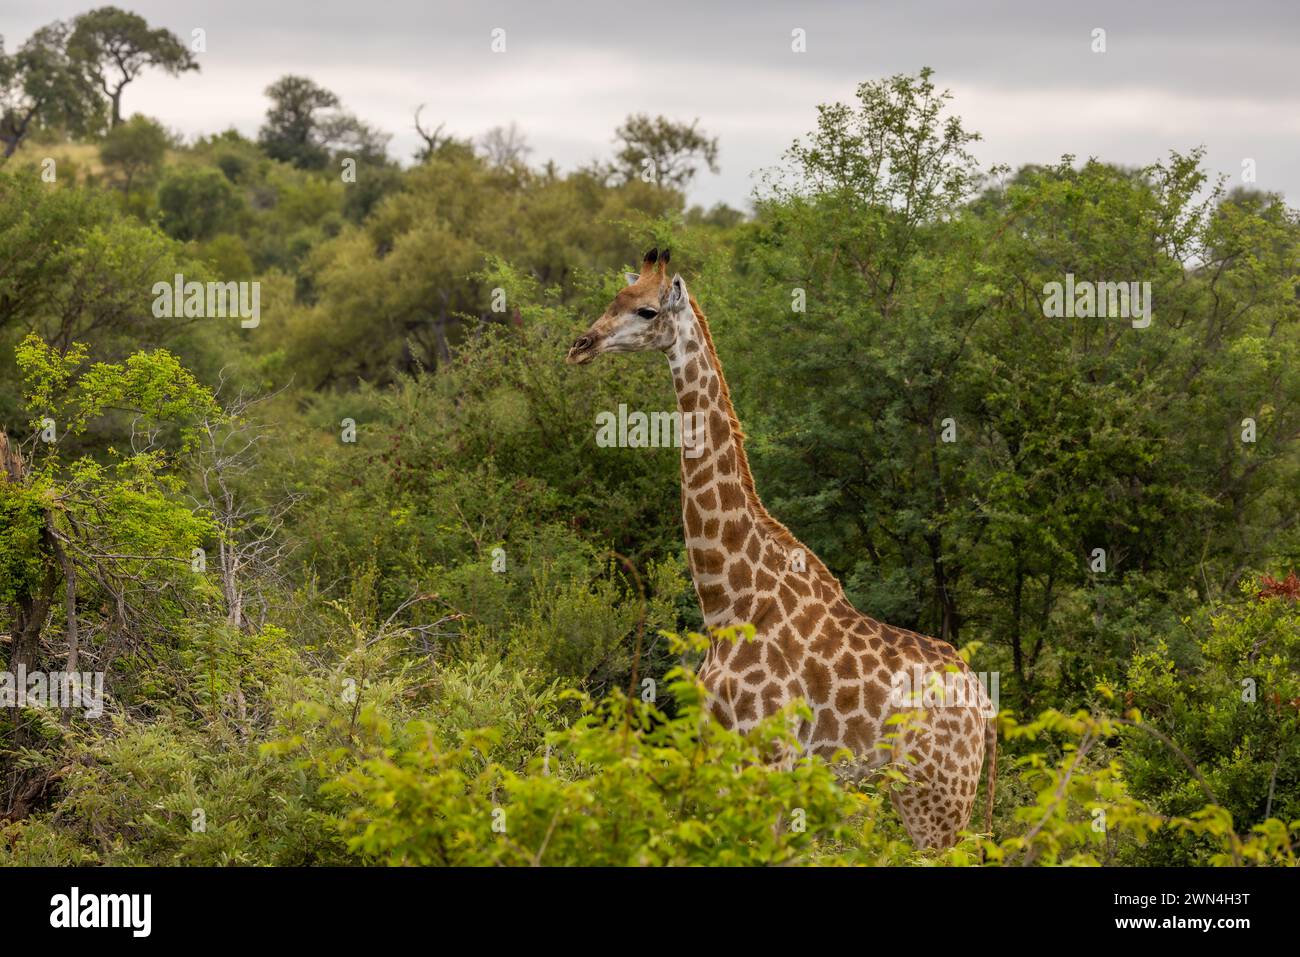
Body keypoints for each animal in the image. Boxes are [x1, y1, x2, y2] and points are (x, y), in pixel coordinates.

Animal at [566, 249, 996, 849]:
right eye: (614, 300)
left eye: (647, 310)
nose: (580, 345)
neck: (727, 599)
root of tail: (985, 705)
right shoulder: (723, 747)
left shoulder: (772, 754)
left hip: (937, 796)